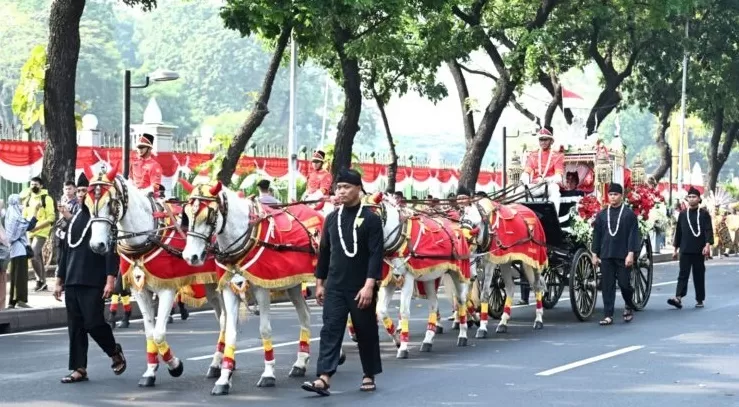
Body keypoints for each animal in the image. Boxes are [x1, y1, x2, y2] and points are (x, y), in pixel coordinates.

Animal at [85, 169, 224, 388]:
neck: (147, 236)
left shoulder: (167, 289)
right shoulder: (140, 290)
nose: (97, 245)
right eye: (88, 204)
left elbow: (159, 333)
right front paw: (150, 371)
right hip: (210, 286)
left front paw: (175, 366)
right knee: (223, 319)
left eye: (110, 203)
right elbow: (150, 332)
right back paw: (217, 364)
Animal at [182, 181, 318, 396]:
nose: (190, 257)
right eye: (186, 214)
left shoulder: (262, 288)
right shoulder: (229, 289)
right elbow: (230, 331)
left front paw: (268, 374)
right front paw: (223, 378)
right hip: (294, 283)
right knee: (305, 314)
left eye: (209, 216)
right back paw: (300, 363)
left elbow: (264, 329)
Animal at [462, 197, 548, 334]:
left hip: (533, 259)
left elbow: (484, 294)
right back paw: (503, 322)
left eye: (474, 226)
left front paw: (482, 327)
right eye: (461, 221)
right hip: (506, 261)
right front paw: (475, 319)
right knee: (511, 287)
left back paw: (538, 320)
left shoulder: (490, 263)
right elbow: (465, 296)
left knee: (537, 286)